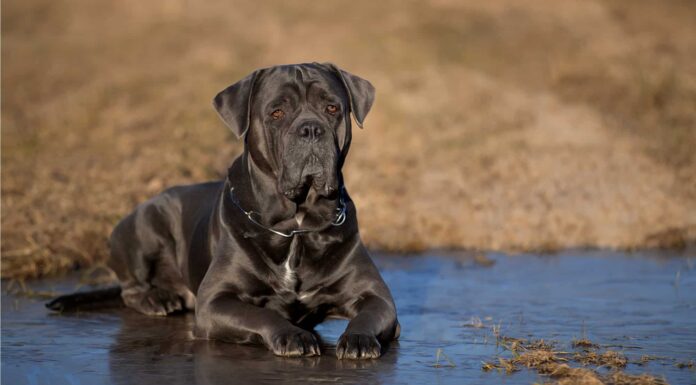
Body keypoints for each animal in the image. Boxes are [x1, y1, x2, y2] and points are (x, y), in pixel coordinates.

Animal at [46, 63, 400, 360]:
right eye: (277, 112)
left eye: (332, 108)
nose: (311, 129)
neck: (295, 226)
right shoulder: (215, 302)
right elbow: (262, 314)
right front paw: (292, 335)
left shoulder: (378, 298)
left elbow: (369, 313)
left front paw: (359, 339)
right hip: (144, 223)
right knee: (130, 288)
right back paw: (156, 299)